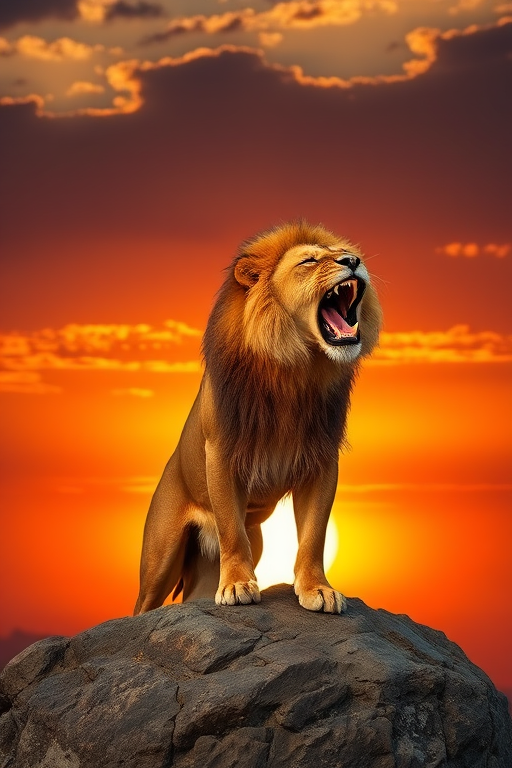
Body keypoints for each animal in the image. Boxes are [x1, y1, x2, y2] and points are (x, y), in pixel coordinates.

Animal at [134, 220, 382, 615]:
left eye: (342, 252)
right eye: (309, 261)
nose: (353, 260)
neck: (296, 369)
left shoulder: (322, 460)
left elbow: (313, 536)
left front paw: (318, 589)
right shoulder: (221, 451)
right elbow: (231, 530)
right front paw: (237, 585)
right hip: (160, 557)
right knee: (144, 605)